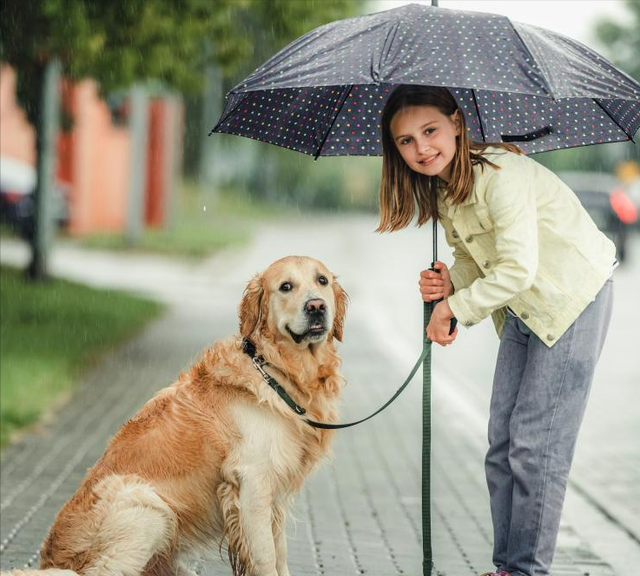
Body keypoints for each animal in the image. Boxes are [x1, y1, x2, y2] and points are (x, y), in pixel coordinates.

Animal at [2, 258, 348, 576]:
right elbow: (265, 559)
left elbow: (280, 556)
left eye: (321, 280)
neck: (276, 370)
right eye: (286, 286)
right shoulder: (251, 483)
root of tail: (50, 559)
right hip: (147, 504)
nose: (316, 306)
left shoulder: (273, 496)